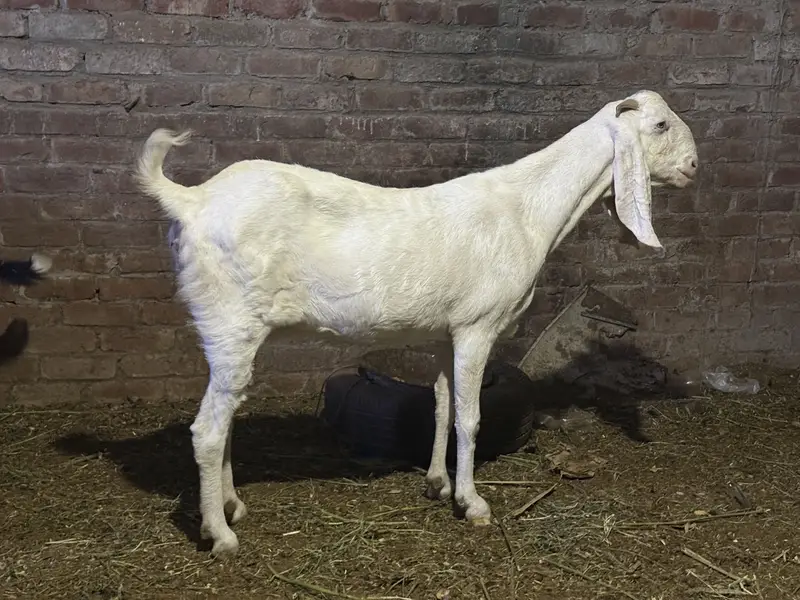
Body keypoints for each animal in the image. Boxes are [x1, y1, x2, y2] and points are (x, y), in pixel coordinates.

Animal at [136, 90, 698, 557]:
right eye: (661, 125)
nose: (694, 166)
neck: (527, 211)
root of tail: (191, 200)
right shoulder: (477, 326)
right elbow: (470, 418)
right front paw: (472, 504)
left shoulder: (446, 332)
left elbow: (442, 405)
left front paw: (437, 484)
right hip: (228, 320)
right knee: (207, 429)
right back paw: (220, 534)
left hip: (235, 332)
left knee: (226, 415)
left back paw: (232, 505)